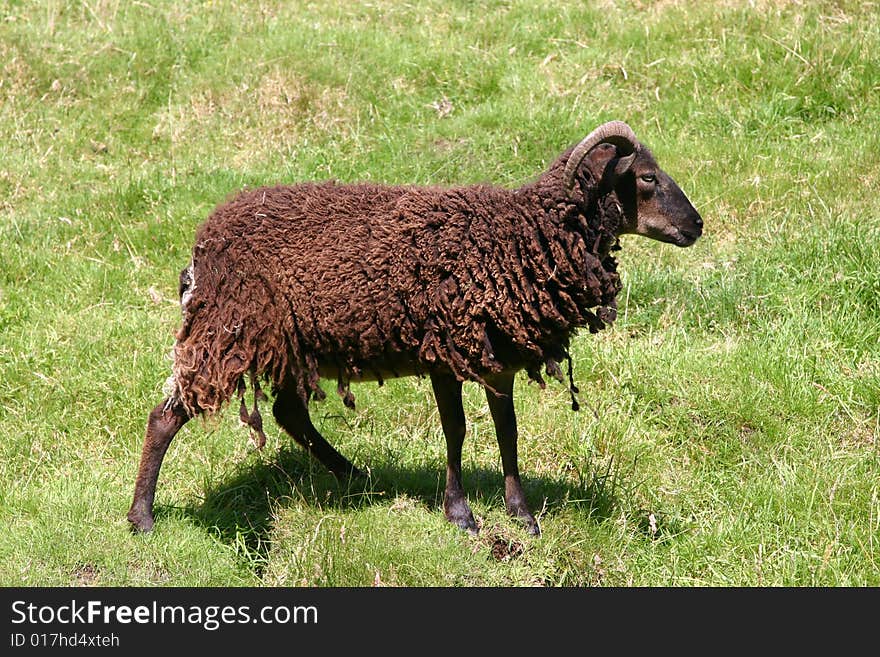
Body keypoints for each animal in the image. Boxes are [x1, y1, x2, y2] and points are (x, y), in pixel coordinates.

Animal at [127, 121, 700, 532]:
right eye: (647, 178)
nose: (696, 225)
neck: (519, 237)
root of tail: (201, 248)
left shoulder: (497, 361)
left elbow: (508, 431)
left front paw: (522, 515)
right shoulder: (445, 353)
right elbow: (457, 430)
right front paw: (461, 515)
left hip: (287, 341)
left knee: (289, 413)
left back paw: (356, 477)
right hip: (230, 327)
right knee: (166, 416)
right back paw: (142, 518)